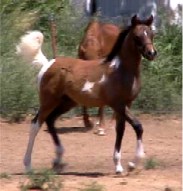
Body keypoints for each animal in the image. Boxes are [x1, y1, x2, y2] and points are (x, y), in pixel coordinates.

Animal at [17, 14, 157, 174]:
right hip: (48, 102)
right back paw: (28, 165)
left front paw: (119, 166)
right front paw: (133, 163)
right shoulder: (118, 104)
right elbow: (138, 126)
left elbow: (120, 130)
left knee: (50, 121)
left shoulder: (126, 104)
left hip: (67, 103)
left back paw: (58, 159)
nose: (151, 53)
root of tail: (48, 64)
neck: (120, 70)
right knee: (35, 124)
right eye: (137, 36)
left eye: (151, 34)